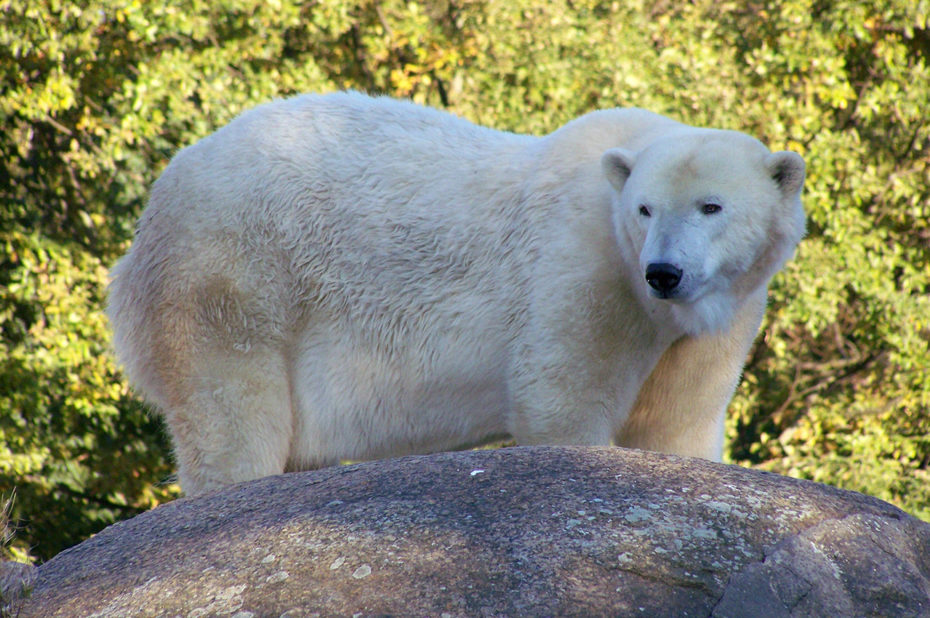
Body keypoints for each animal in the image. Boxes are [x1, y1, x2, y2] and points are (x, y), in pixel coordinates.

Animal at [107, 91, 804, 494]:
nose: (664, 271)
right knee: (233, 410)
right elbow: (562, 399)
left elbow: (679, 418)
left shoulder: (717, 315)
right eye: (644, 208)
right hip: (232, 270)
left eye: (711, 206)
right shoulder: (585, 264)